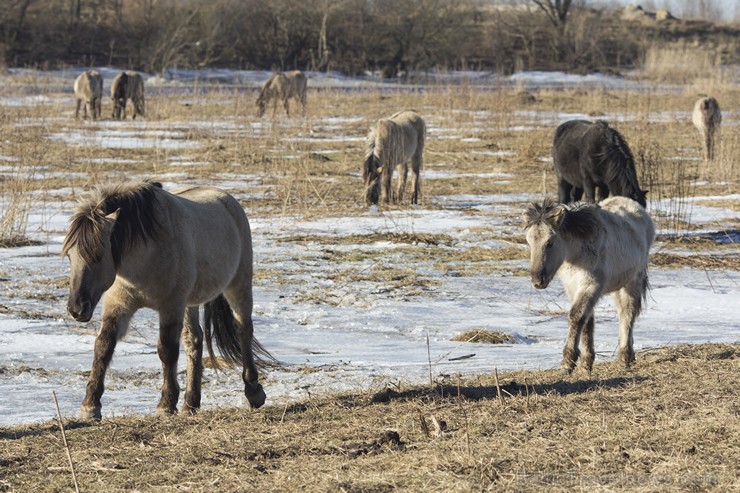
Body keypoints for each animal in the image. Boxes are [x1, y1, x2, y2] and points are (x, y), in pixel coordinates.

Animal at [62, 181, 272, 418]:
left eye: (97, 256)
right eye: (70, 256)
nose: (77, 309)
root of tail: (227, 199)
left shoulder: (171, 305)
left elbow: (167, 350)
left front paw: (166, 404)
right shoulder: (119, 304)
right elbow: (103, 346)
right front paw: (90, 405)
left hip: (238, 285)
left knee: (243, 329)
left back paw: (253, 392)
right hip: (191, 302)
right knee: (194, 340)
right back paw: (191, 404)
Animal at [524, 196, 656, 372]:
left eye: (550, 242)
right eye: (529, 242)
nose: (538, 281)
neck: (577, 254)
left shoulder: (591, 286)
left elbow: (576, 316)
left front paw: (568, 362)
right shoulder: (573, 288)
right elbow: (587, 321)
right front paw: (586, 363)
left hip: (633, 282)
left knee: (627, 314)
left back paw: (625, 357)